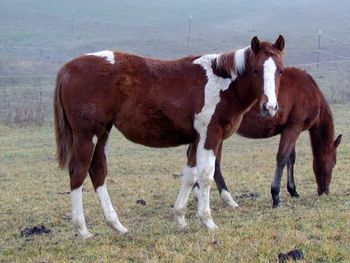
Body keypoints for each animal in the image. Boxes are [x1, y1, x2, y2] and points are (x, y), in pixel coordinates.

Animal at [54, 35, 284, 239]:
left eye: (280, 71)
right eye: (256, 70)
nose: (270, 107)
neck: (221, 83)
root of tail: (66, 69)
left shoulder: (196, 140)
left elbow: (190, 175)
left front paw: (180, 218)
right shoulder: (210, 135)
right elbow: (206, 175)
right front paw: (207, 221)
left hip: (103, 133)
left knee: (98, 171)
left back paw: (117, 226)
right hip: (86, 135)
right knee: (78, 172)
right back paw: (83, 230)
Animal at [191, 67, 342, 209]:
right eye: (334, 162)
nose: (324, 191)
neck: (309, 90)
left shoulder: (289, 129)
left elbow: (291, 159)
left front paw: (293, 191)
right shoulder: (294, 128)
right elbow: (282, 158)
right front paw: (276, 196)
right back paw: (227, 199)